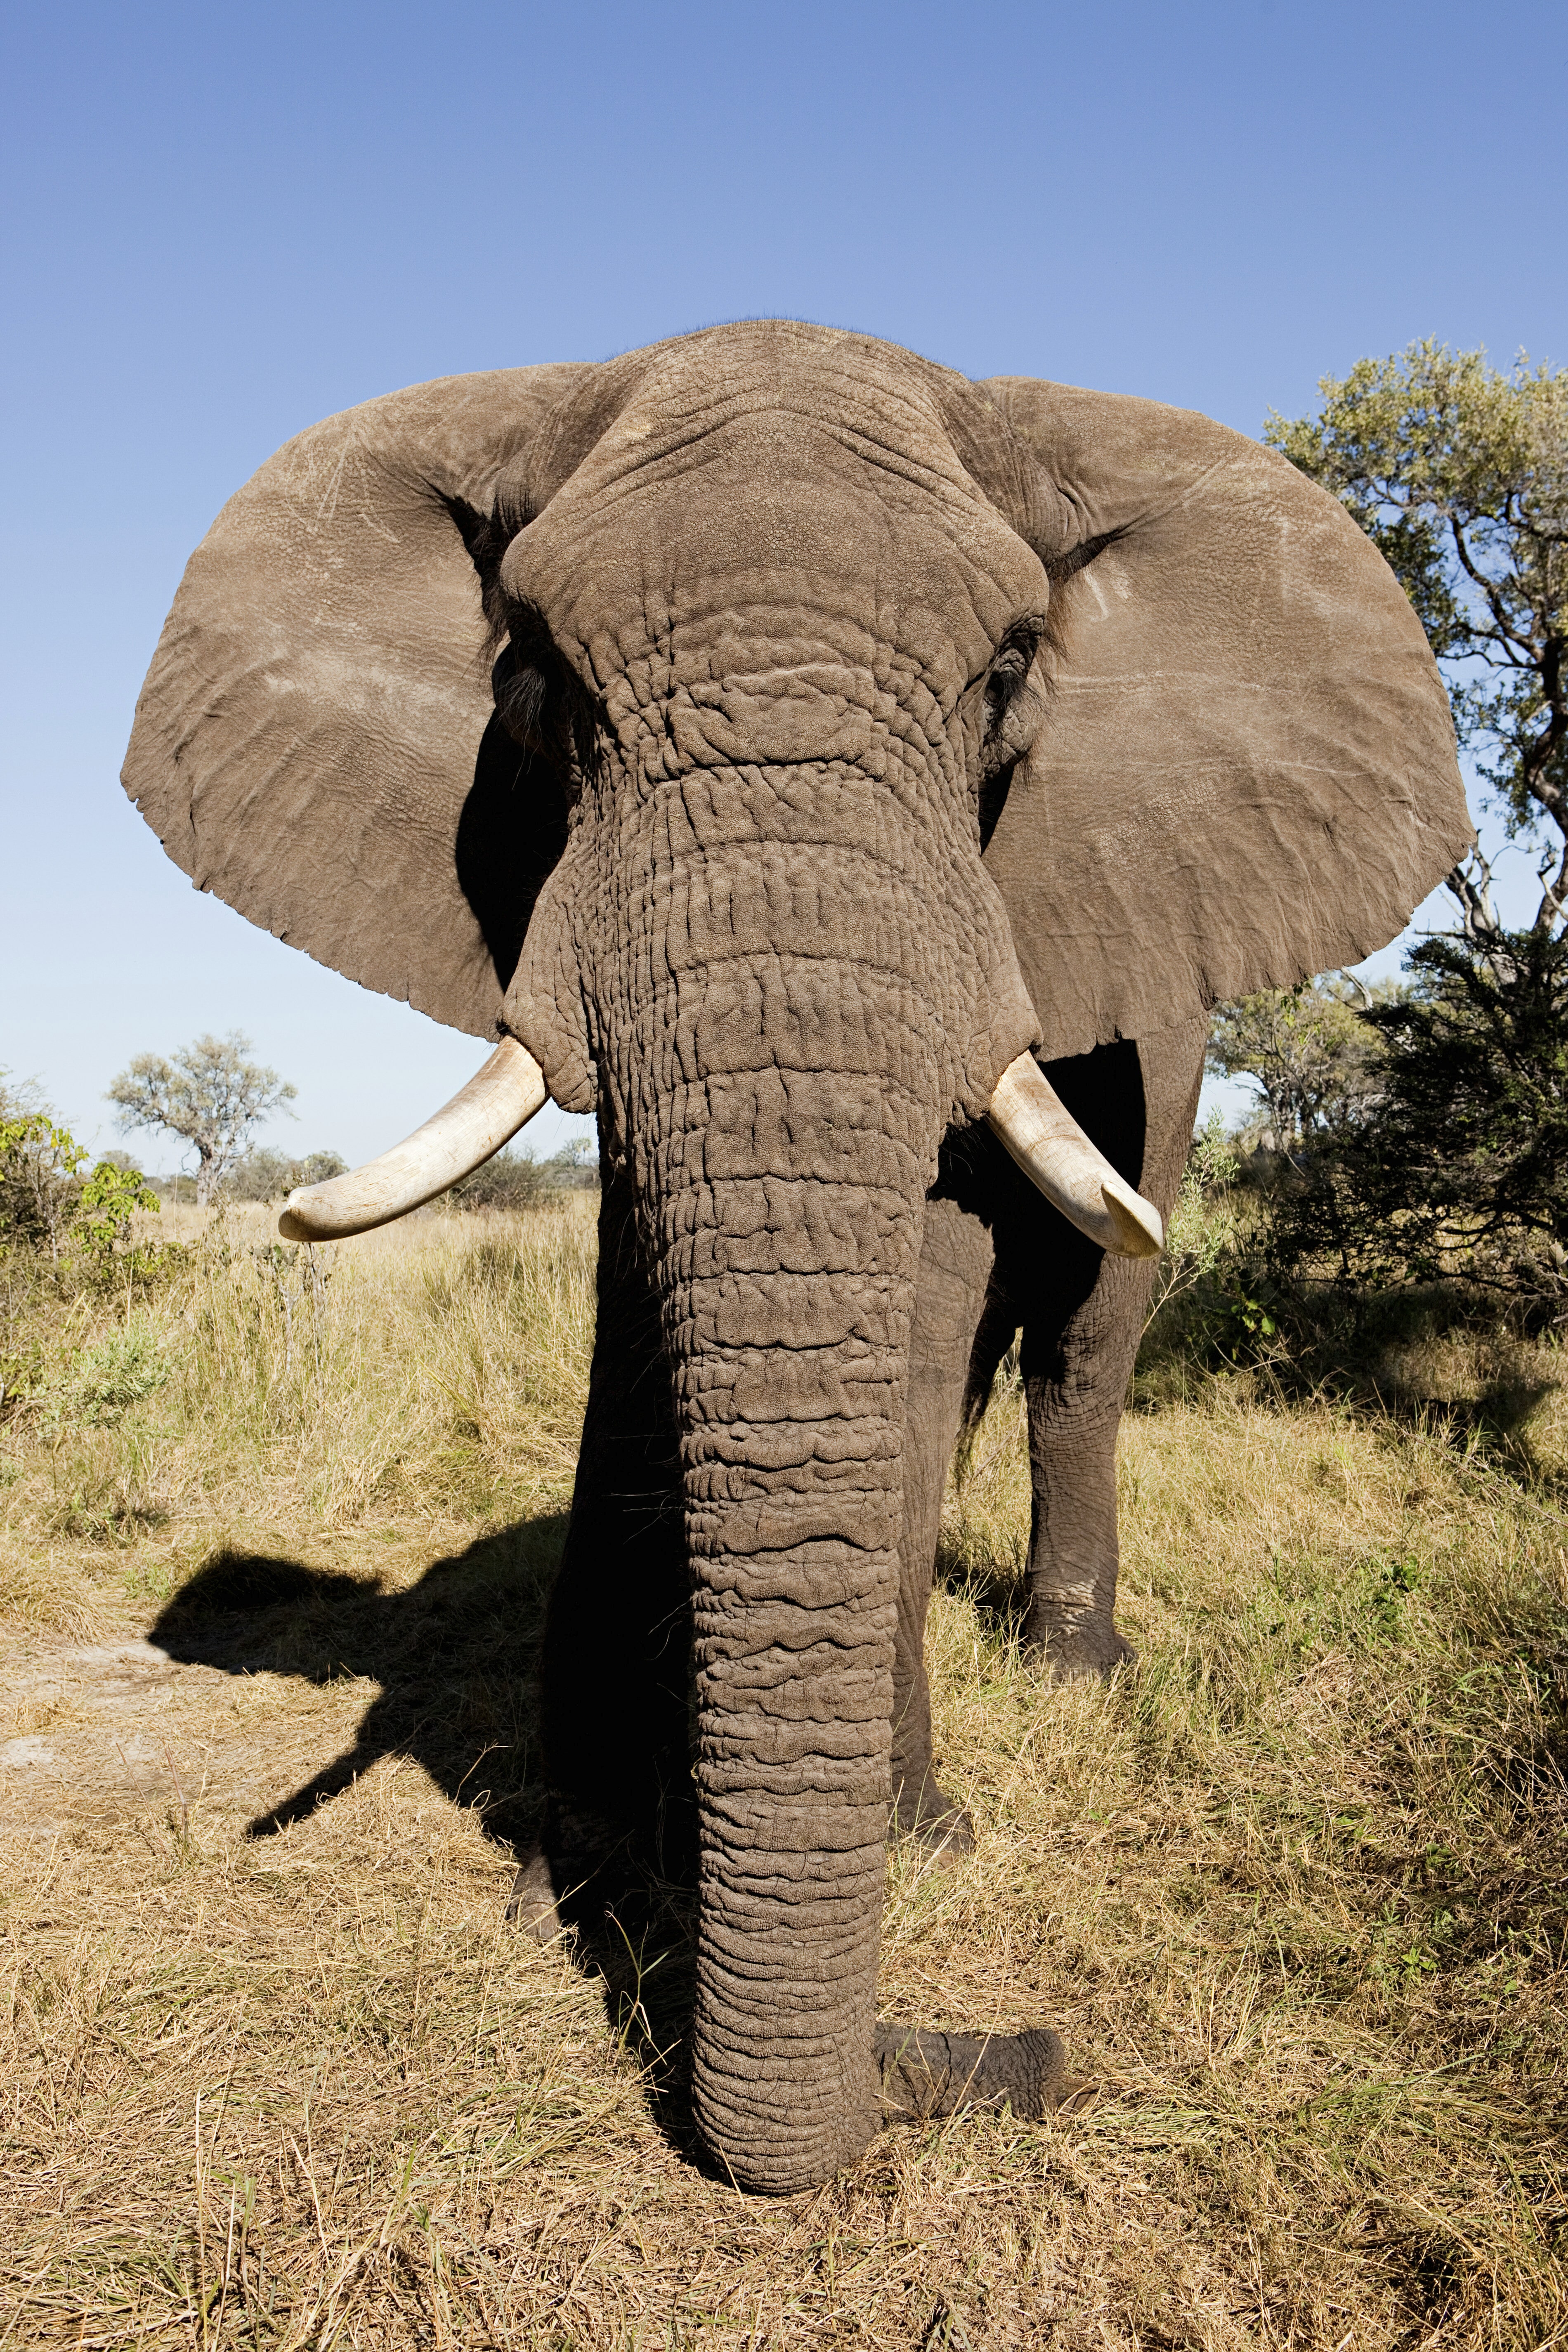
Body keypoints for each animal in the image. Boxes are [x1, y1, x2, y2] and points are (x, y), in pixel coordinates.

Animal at [123, 321, 1469, 2193]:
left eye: (1007, 668)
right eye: (534, 673)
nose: (1007, 2056)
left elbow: (926, 1287)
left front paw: (917, 1839)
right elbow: (648, 1321)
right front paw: (582, 1859)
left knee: (1086, 1333)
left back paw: (1070, 1675)